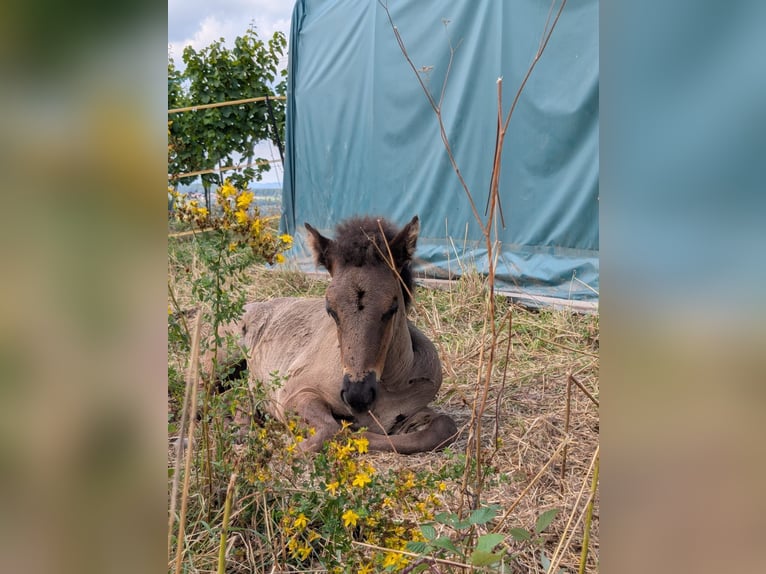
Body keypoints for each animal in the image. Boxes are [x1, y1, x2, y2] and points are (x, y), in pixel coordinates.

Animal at [213, 215, 458, 454]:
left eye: (392, 308)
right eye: (330, 309)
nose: (357, 395)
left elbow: (444, 427)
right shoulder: (295, 392)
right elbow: (331, 429)